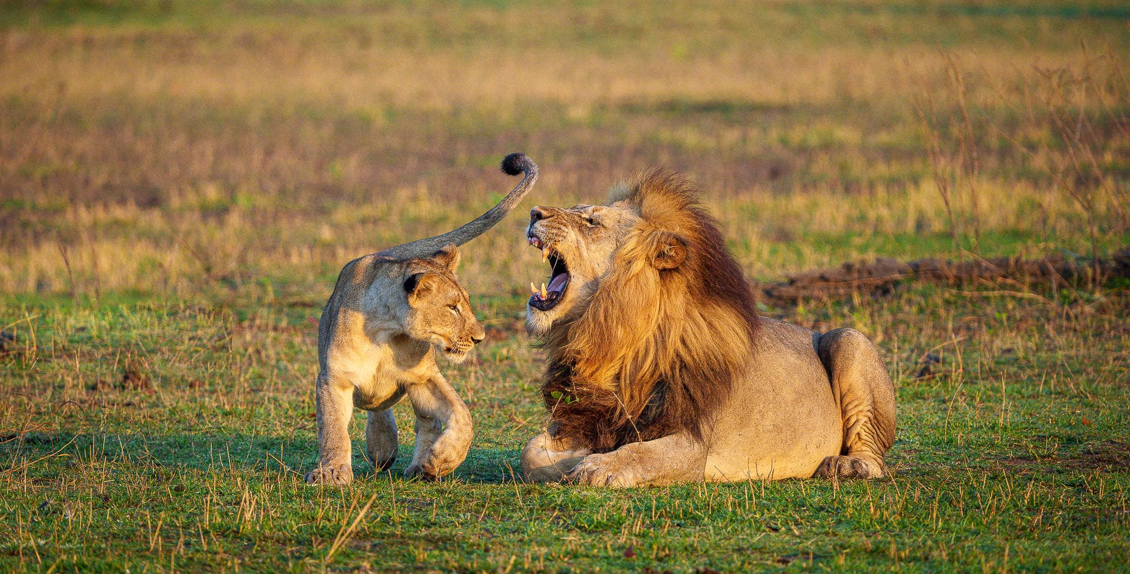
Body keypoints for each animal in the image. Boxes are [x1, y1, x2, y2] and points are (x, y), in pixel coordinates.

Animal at [306, 153, 537, 486]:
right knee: (375, 408)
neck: (386, 332)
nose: (480, 337)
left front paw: (441, 460)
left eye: (465, 302)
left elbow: (462, 415)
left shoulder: (423, 377)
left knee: (422, 422)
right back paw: (383, 447)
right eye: (452, 307)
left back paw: (415, 464)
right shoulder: (334, 379)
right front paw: (332, 473)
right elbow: (333, 431)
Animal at [519, 169, 895, 487]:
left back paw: (846, 465)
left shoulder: (693, 443)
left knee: (874, 456)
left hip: (849, 339)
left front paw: (597, 465)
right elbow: (530, 453)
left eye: (592, 221)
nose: (534, 213)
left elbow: (639, 454)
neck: (611, 336)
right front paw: (573, 459)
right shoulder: (581, 415)